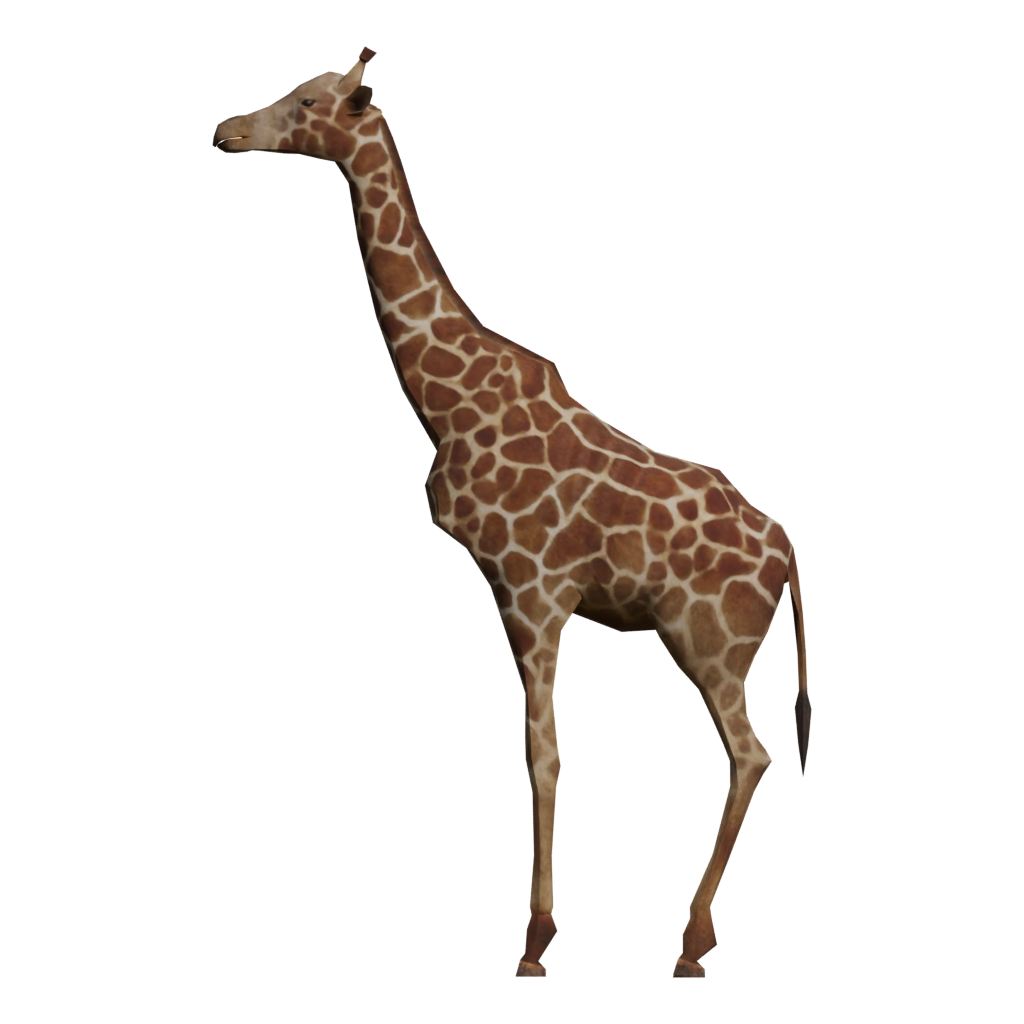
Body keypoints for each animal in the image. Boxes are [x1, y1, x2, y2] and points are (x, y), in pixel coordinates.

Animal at [212, 48, 811, 979]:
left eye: (308, 103)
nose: (226, 130)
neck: (447, 407)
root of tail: (786, 547)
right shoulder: (534, 600)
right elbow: (546, 755)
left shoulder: (530, 594)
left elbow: (543, 757)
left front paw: (534, 942)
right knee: (744, 755)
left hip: (711, 645)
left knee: (749, 753)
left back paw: (689, 945)